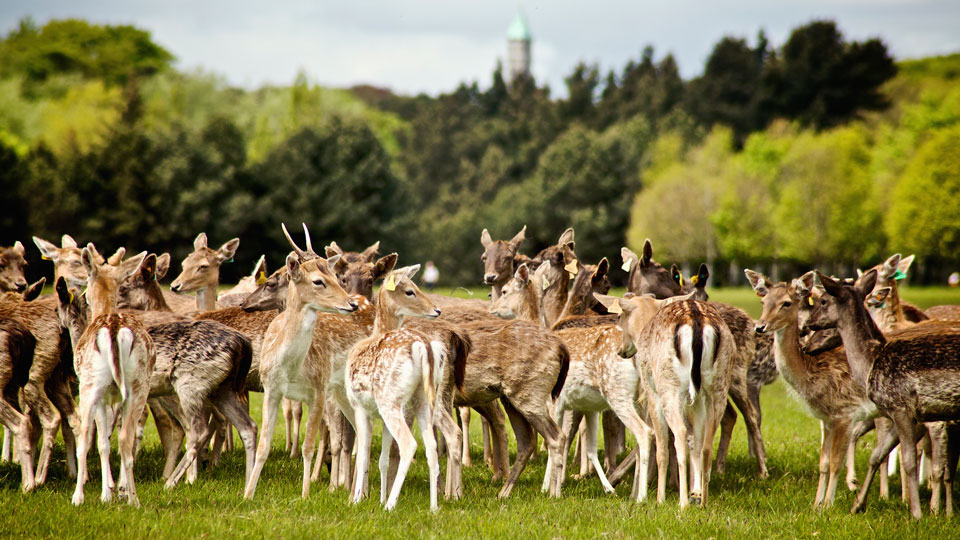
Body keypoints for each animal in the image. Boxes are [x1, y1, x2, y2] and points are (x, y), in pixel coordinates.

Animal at [54, 245, 154, 506]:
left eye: (86, 287)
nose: (83, 296)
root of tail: (115, 329)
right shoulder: (115, 397)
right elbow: (109, 437)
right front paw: (116, 489)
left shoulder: (101, 395)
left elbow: (100, 441)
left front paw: (106, 493)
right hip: (138, 387)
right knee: (126, 439)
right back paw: (134, 499)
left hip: (91, 385)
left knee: (83, 434)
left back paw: (77, 497)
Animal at [240, 225, 360, 502]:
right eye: (318, 281)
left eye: (337, 277)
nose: (352, 303)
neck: (291, 370)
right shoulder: (271, 390)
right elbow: (263, 444)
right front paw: (248, 493)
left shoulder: (318, 390)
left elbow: (308, 446)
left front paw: (305, 494)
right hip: (342, 391)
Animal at [346, 264, 470, 510]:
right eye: (410, 291)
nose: (437, 310)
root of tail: (424, 347)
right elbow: (383, 459)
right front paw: (378, 497)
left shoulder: (359, 405)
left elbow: (363, 453)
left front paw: (357, 499)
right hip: (422, 400)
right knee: (431, 446)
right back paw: (434, 506)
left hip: (390, 400)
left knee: (409, 444)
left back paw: (391, 505)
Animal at [808, 270, 960, 520]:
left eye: (823, 301)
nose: (807, 326)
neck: (871, 362)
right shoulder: (905, 414)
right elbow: (877, 454)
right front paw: (857, 505)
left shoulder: (901, 407)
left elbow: (908, 460)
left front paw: (917, 513)